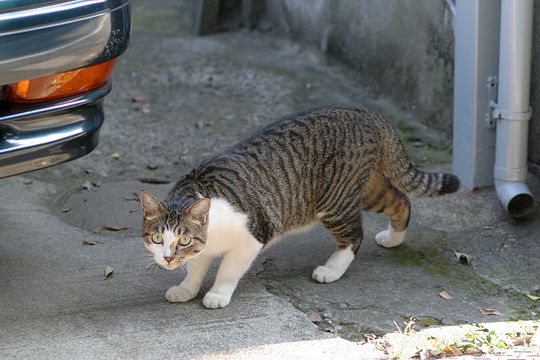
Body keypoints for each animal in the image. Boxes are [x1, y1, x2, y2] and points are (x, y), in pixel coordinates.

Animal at [139, 105, 460, 308]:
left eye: (183, 240)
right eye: (156, 238)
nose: (167, 259)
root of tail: (365, 111)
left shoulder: (253, 237)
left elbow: (228, 269)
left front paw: (218, 293)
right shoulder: (204, 247)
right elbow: (195, 268)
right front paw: (186, 288)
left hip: (335, 201)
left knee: (355, 235)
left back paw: (332, 269)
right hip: (366, 189)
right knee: (401, 200)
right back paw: (394, 239)